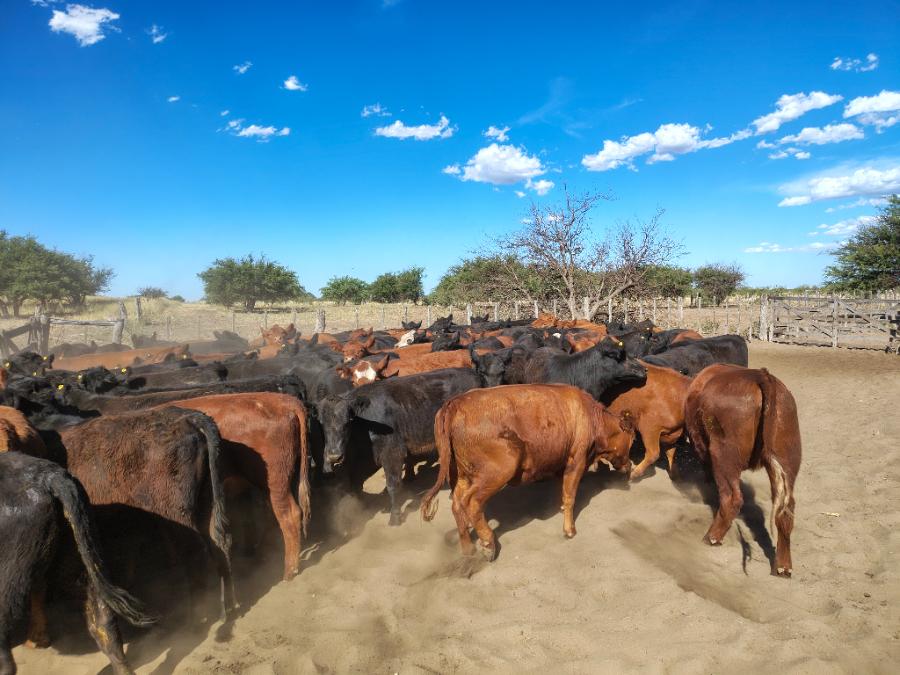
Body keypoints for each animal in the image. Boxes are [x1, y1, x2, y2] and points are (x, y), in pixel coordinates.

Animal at [319, 368, 482, 525]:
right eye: (321, 424)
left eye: (348, 422)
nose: (334, 456)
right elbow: (356, 485)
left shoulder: (391, 454)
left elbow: (392, 485)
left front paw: (395, 517)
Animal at [420, 384, 634, 559]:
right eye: (632, 441)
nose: (630, 466)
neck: (591, 417)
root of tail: (455, 403)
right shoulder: (576, 461)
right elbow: (569, 496)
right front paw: (569, 530)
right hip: (496, 472)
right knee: (471, 502)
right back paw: (488, 544)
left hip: (461, 474)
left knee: (457, 504)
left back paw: (468, 549)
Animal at [684, 364, 801, 577]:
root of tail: (762, 376)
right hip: (786, 460)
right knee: (785, 510)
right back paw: (782, 566)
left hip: (724, 455)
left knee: (732, 498)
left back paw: (712, 537)